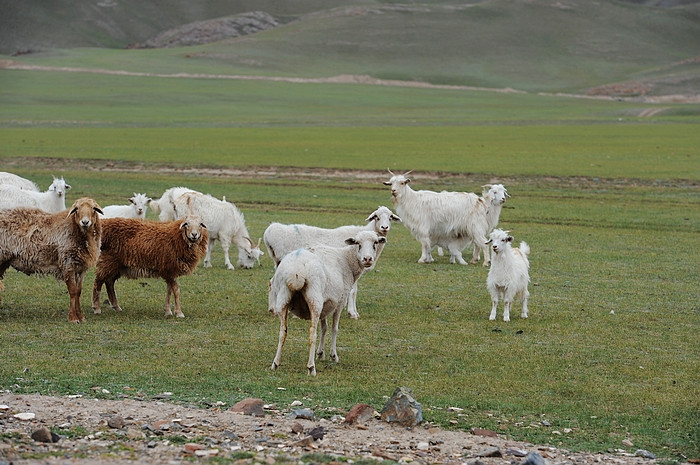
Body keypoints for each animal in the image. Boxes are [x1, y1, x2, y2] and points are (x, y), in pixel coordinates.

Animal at [262, 206, 400, 320]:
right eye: (377, 217)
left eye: (390, 217)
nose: (384, 227)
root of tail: (270, 231)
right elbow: (352, 291)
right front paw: (352, 313)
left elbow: (354, 291)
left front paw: (353, 312)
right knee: (274, 282)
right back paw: (275, 309)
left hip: (280, 263)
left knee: (271, 282)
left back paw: (273, 309)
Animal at [270, 230, 388, 376]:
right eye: (358, 244)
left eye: (375, 243)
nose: (367, 259)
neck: (347, 260)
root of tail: (296, 271)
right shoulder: (340, 301)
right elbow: (334, 328)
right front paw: (333, 355)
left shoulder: (326, 303)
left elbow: (324, 328)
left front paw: (320, 353)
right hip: (314, 298)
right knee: (312, 333)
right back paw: (311, 367)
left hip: (283, 297)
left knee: (282, 332)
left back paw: (275, 363)